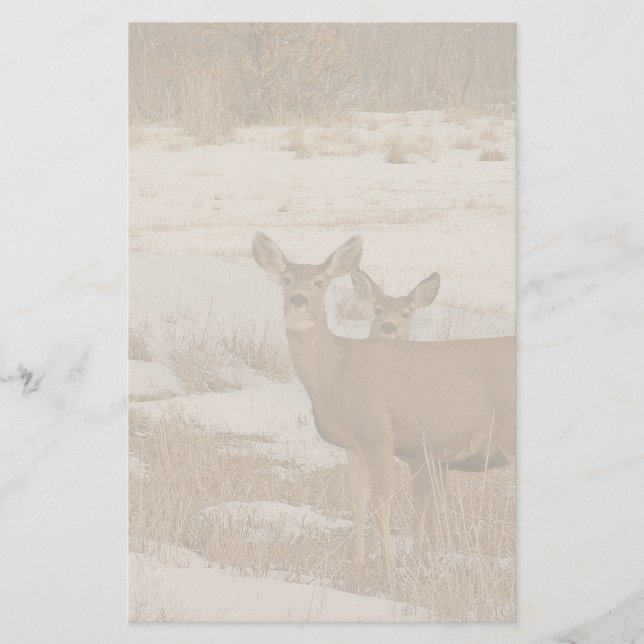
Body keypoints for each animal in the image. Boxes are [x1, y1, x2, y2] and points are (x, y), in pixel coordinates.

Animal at [252, 233, 515, 567]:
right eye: (286, 279)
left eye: (320, 282)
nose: (299, 300)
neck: (337, 370)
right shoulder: (355, 444)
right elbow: (357, 502)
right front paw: (359, 562)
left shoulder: (380, 435)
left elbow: (382, 503)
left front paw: (388, 564)